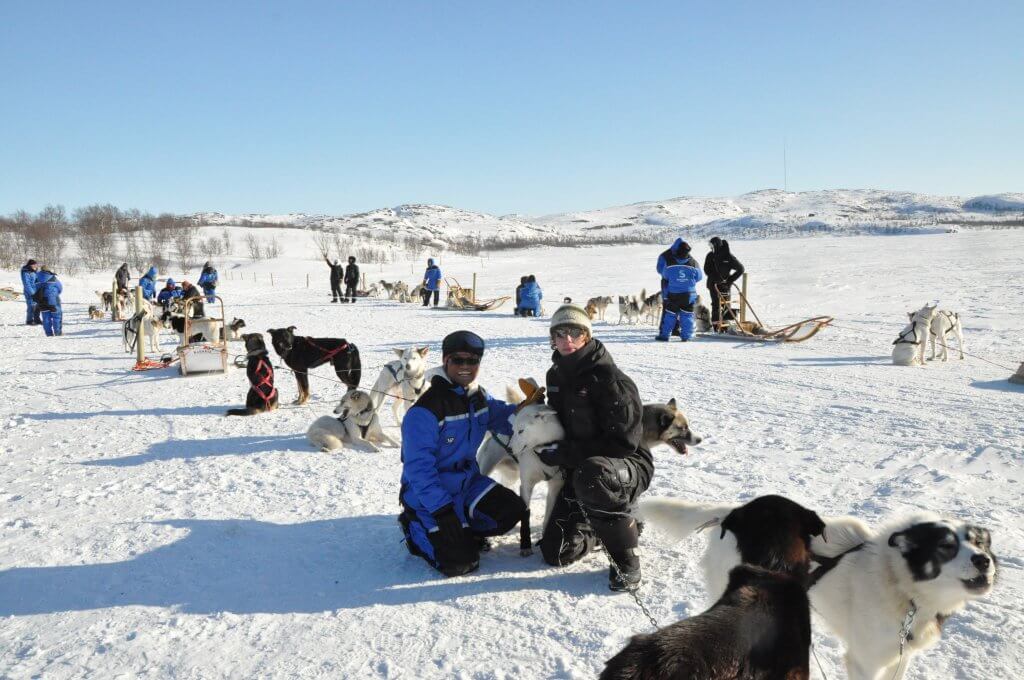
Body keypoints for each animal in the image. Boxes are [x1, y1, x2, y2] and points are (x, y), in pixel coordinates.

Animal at [638, 493, 999, 680]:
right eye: (946, 546)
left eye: (979, 542)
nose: (984, 561)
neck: (901, 586)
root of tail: (728, 511)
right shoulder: (864, 662)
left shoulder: (900, 658)